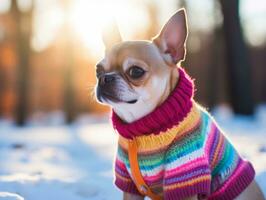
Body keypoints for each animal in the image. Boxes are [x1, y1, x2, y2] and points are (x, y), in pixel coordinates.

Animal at [94, 8, 264, 199]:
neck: (141, 128)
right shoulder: (129, 185)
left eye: (135, 71)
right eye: (98, 70)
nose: (104, 78)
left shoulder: (185, 177)